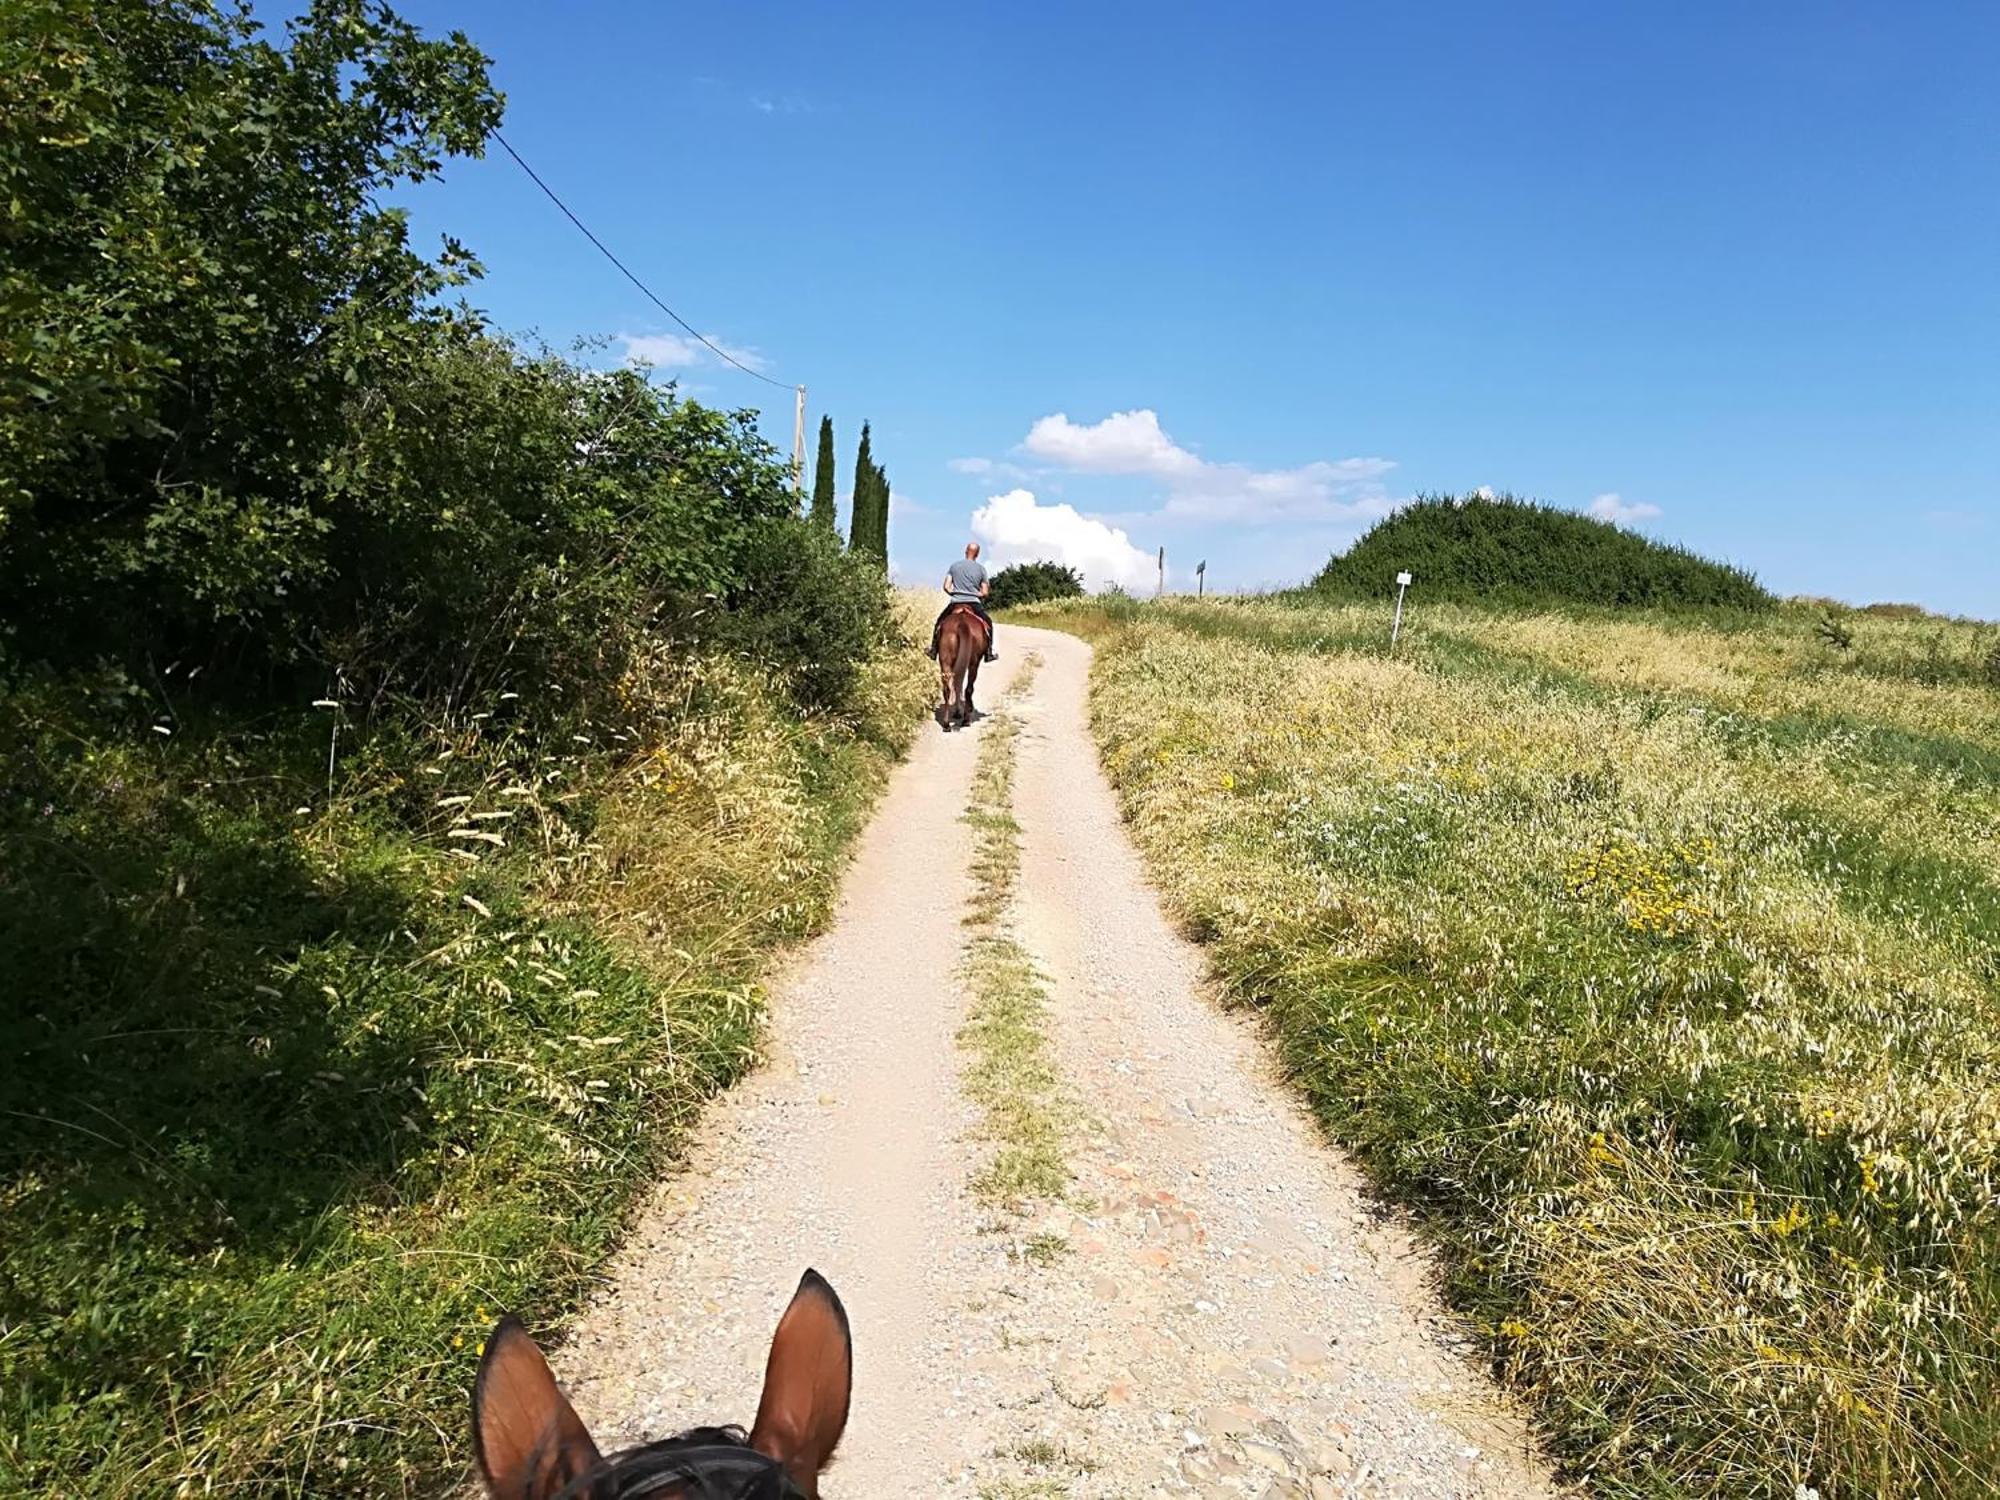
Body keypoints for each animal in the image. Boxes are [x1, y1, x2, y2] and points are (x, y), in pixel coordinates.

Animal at [932, 604, 988, 736]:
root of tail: (962, 623)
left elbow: (957, 685)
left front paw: (957, 712)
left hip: (945, 662)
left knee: (948, 689)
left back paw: (946, 725)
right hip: (973, 664)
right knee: (968, 689)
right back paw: (966, 719)